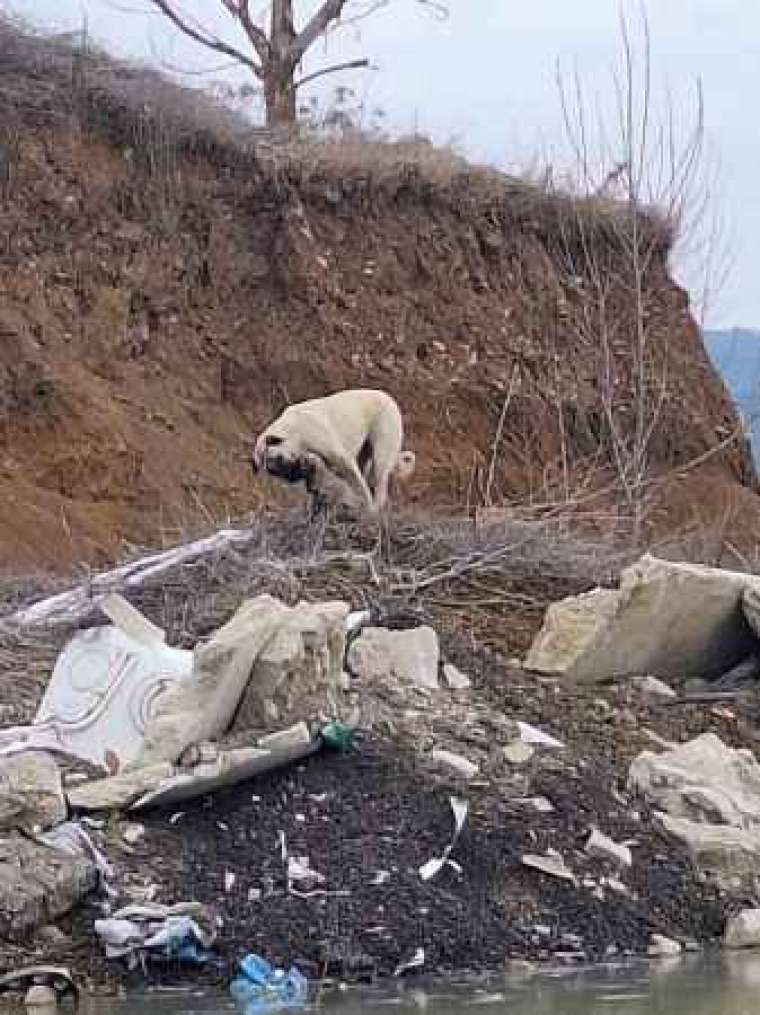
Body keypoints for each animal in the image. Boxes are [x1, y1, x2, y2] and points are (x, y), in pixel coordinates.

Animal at [251, 387, 411, 515]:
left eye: (279, 459)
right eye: (274, 472)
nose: (290, 477)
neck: (293, 431)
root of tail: (388, 397)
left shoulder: (336, 456)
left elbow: (354, 481)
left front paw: (366, 507)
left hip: (383, 439)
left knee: (378, 477)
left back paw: (375, 507)